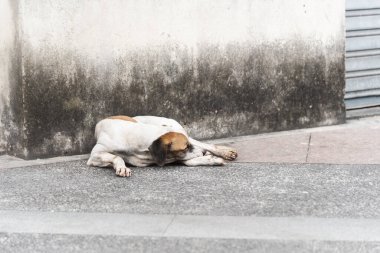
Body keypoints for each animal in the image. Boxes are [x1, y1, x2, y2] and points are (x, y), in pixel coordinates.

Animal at [87, 115, 238, 177]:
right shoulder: (95, 156)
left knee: (205, 146)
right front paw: (122, 167)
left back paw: (222, 152)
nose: (202, 153)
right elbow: (117, 157)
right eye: (185, 147)